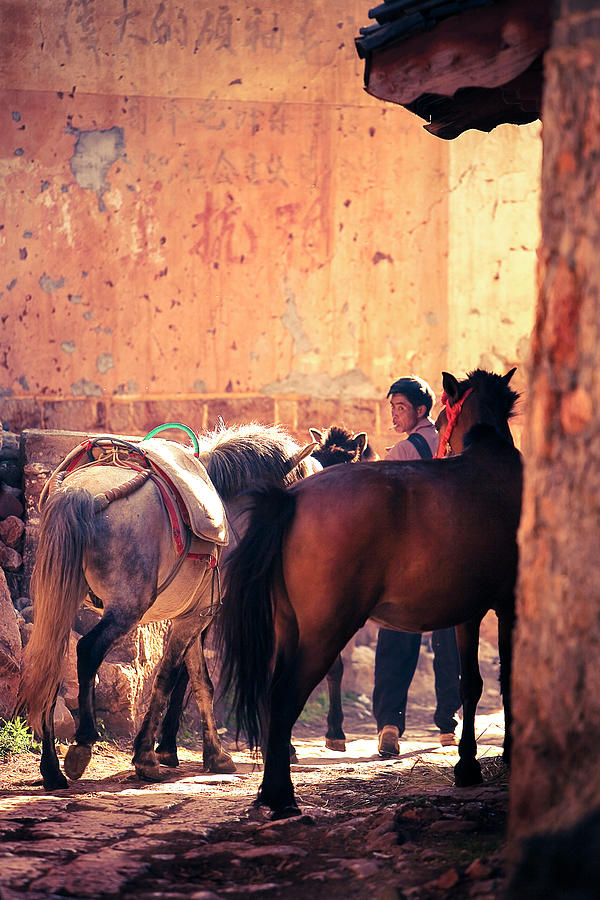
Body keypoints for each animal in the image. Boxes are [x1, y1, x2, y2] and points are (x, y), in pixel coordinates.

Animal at [219, 370, 520, 820]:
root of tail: (291, 498)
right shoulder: (509, 604)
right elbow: (507, 679)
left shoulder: (470, 610)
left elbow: (470, 684)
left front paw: (467, 766)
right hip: (326, 628)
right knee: (288, 695)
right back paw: (281, 796)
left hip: (290, 626)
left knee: (275, 695)